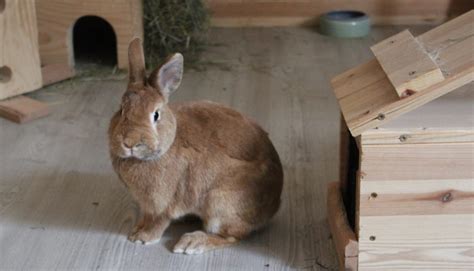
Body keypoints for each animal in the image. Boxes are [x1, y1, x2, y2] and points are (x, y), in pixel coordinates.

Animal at [109, 38, 284, 255]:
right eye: (121, 109)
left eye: (156, 115)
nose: (130, 142)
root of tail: (274, 204)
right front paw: (136, 230)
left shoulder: (162, 204)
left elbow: (158, 221)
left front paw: (142, 237)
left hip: (220, 204)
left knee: (231, 237)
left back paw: (191, 242)